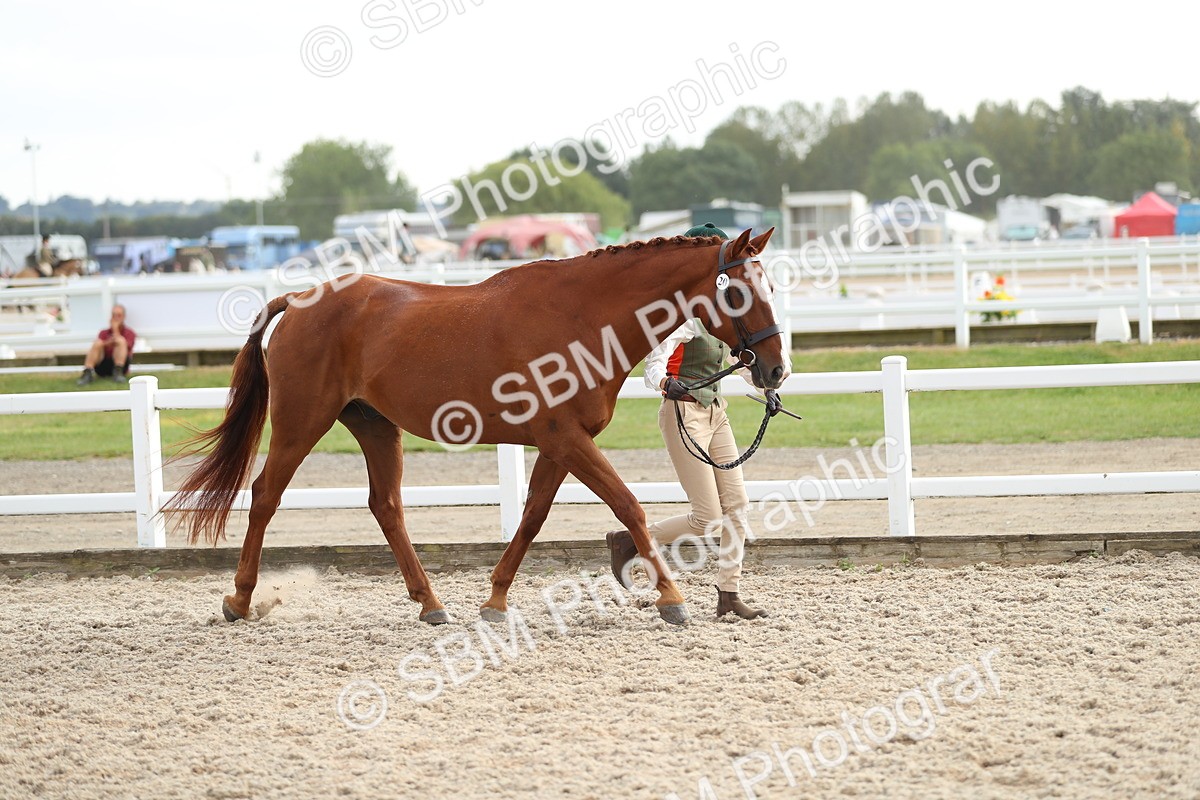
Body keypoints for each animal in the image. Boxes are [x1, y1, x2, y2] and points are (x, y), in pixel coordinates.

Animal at [165, 228, 788, 627]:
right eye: (738, 290)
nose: (776, 368)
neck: (582, 317)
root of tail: (298, 299)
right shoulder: (566, 439)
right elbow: (628, 506)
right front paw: (671, 599)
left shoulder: (559, 444)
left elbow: (533, 517)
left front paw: (495, 601)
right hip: (301, 423)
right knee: (266, 494)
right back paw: (239, 601)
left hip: (375, 427)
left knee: (385, 506)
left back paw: (431, 604)